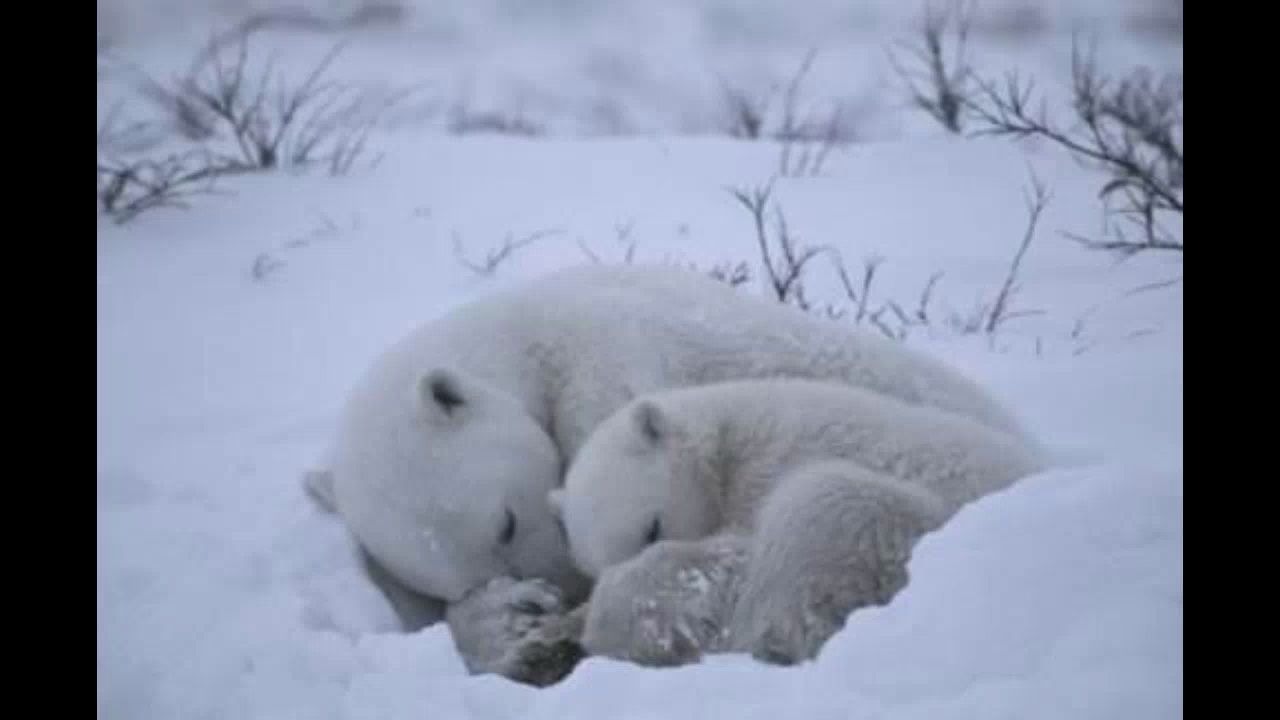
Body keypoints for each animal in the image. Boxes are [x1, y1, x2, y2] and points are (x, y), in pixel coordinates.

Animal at [555, 379, 1044, 666]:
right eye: (595, 562)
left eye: (651, 528)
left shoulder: (771, 467)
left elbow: (731, 559)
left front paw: (605, 617)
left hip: (907, 528)